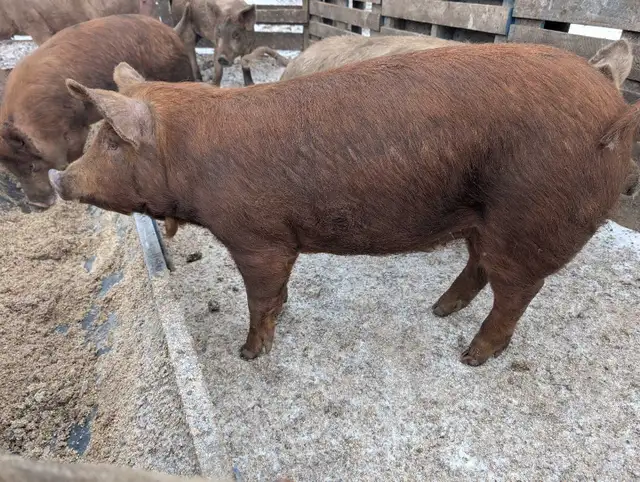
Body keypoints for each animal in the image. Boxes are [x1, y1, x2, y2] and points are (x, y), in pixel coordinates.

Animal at [0, 14, 193, 208]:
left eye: (32, 166)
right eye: (11, 169)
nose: (38, 205)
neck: (42, 123)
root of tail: (169, 31)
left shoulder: (76, 127)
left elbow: (73, 155)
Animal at [50, 43, 639, 366]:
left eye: (110, 142)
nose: (60, 177)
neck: (189, 157)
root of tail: (614, 109)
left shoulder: (256, 236)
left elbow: (259, 296)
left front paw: (248, 354)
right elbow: (278, 292)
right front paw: (282, 316)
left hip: (529, 217)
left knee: (518, 289)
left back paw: (470, 356)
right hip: (482, 217)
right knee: (479, 266)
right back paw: (437, 310)